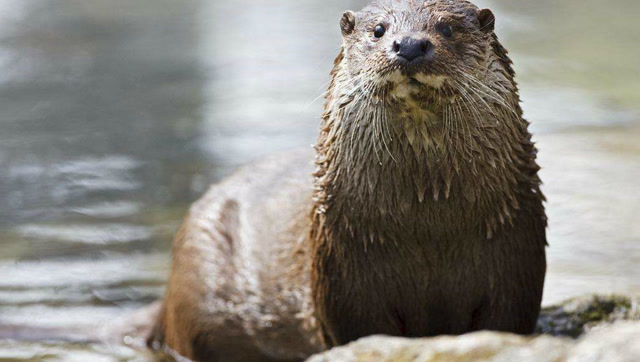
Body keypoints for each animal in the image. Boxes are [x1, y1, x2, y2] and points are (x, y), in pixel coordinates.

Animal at [148, 1, 548, 360]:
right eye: (379, 30)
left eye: (447, 28)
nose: (409, 44)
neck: (430, 228)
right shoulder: (343, 278)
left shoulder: (516, 265)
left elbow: (506, 321)